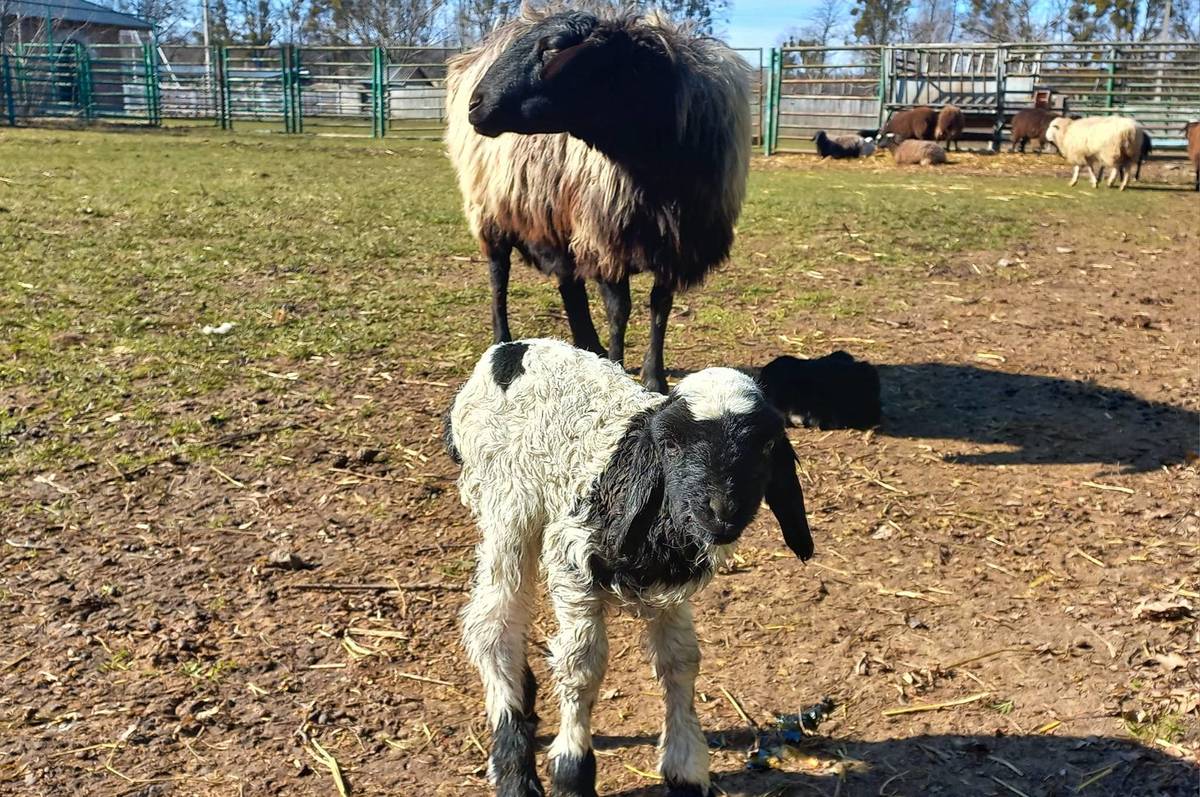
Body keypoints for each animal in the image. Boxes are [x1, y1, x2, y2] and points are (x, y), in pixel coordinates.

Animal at [444, 338, 816, 797]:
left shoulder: (670, 594)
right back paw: (514, 766)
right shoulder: (570, 564)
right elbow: (582, 666)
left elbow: (681, 661)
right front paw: (571, 771)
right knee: (494, 625)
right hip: (506, 504)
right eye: (671, 446)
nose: (721, 512)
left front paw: (685, 769)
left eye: (765, 447)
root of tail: (509, 350)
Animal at [446, 6, 748, 391]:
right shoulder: (606, 238)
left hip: (555, 213)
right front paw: (618, 369)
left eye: (552, 46)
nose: (476, 105)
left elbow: (660, 306)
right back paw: (503, 338)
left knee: (568, 282)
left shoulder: (674, 245)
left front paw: (654, 378)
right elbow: (619, 310)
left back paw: (588, 344)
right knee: (499, 276)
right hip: (490, 208)